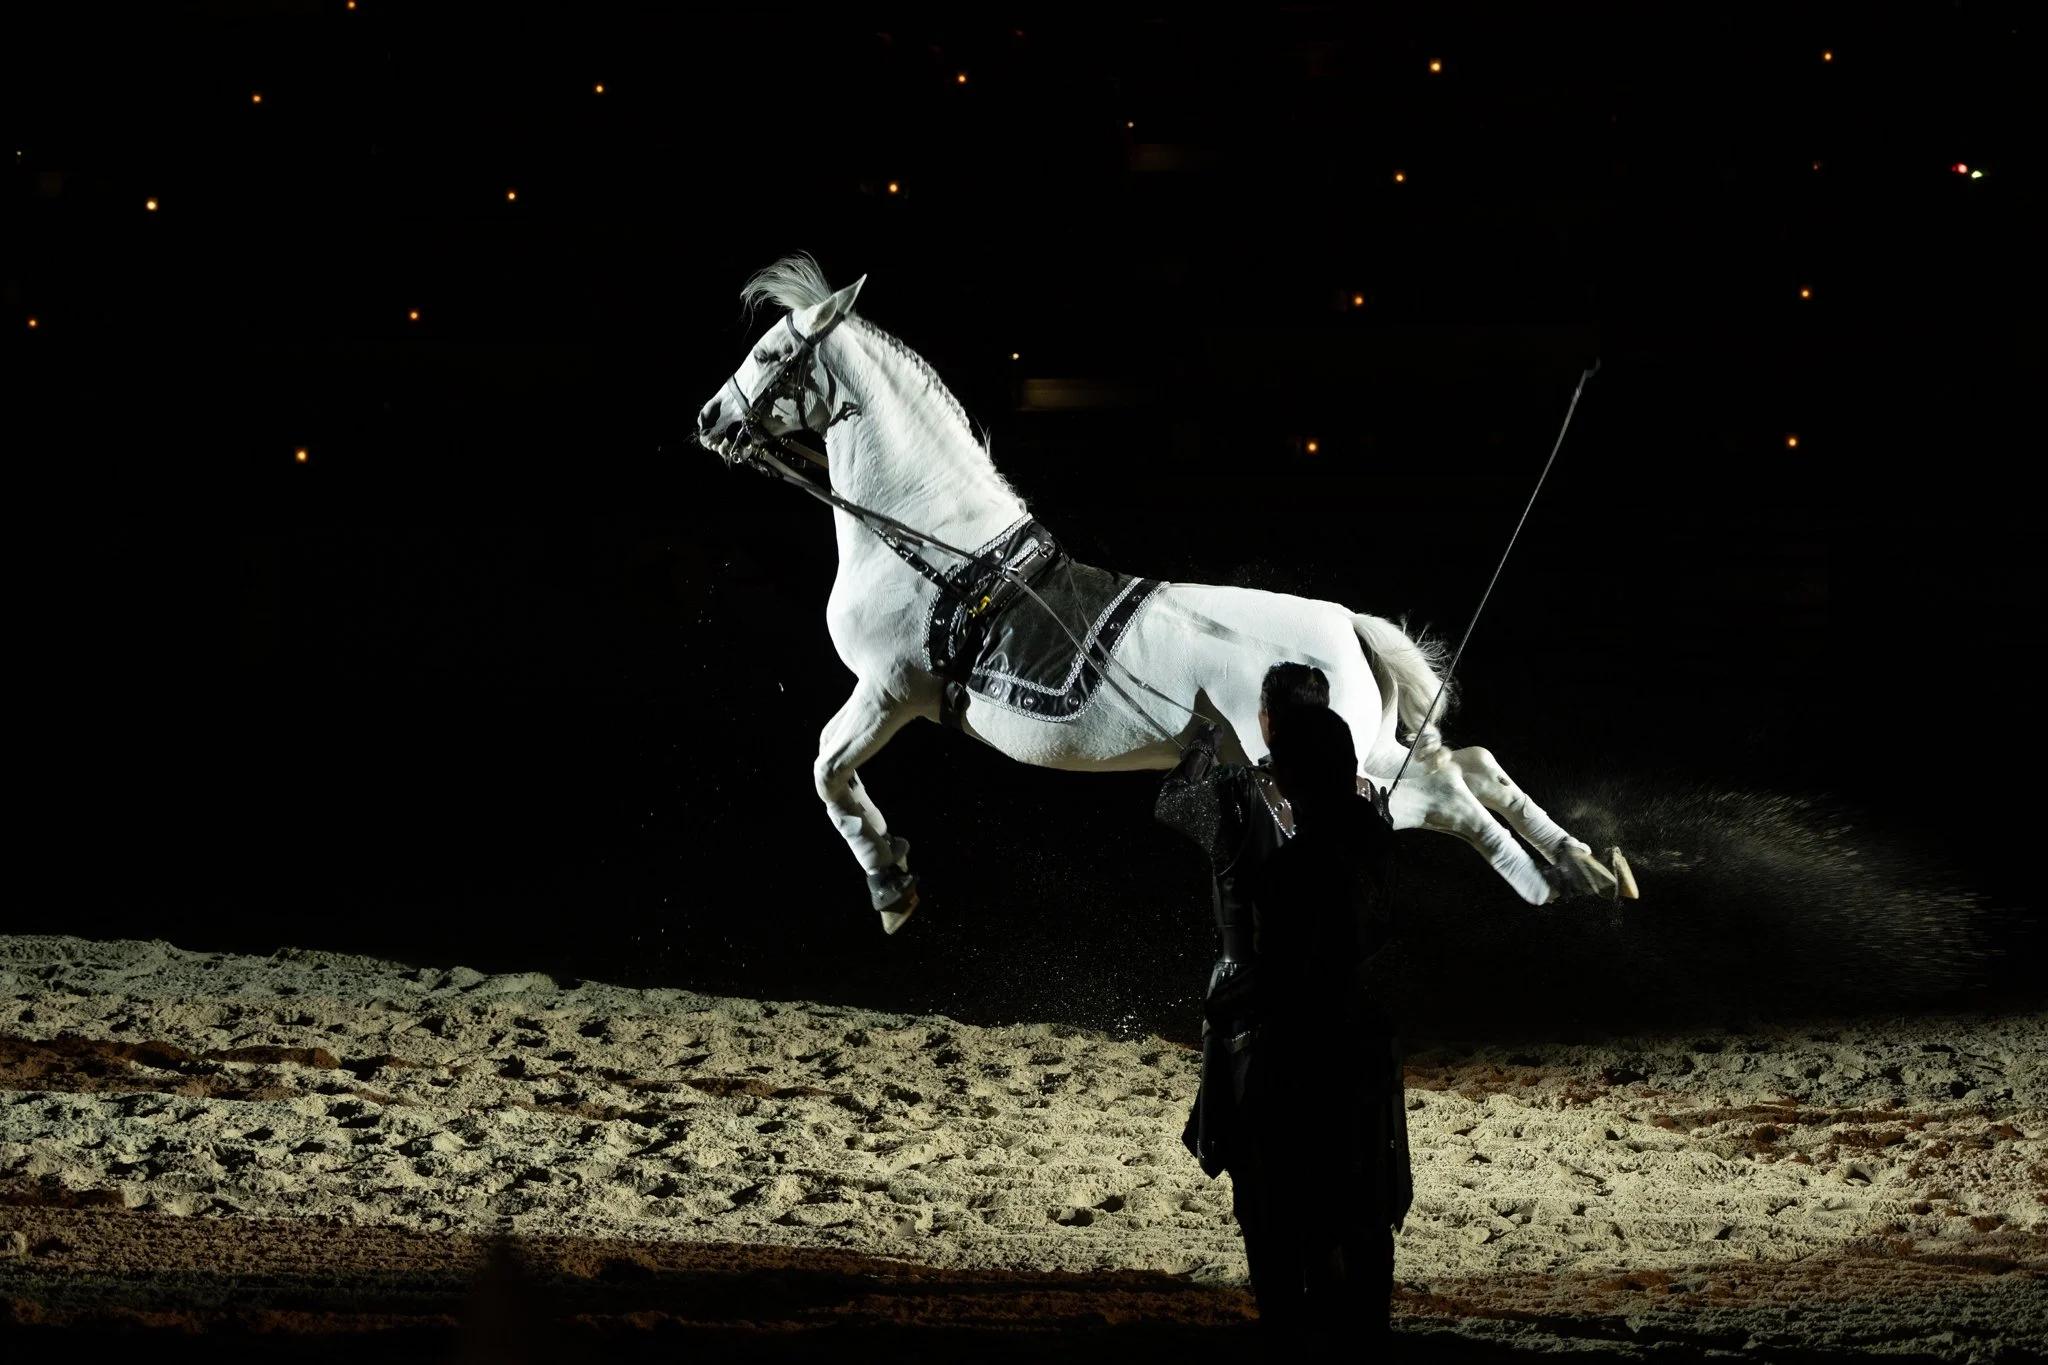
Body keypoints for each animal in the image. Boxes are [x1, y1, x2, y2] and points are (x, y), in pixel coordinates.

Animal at [696, 254, 1634, 933]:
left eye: (774, 353)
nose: (709, 419)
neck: (934, 538)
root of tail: (1349, 625)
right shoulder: (893, 694)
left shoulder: (890, 690)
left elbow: (827, 770)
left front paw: (891, 883)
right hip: (1369, 744)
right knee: (1468, 762)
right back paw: (1591, 866)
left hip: (1336, 769)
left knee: (1443, 791)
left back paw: (1545, 883)